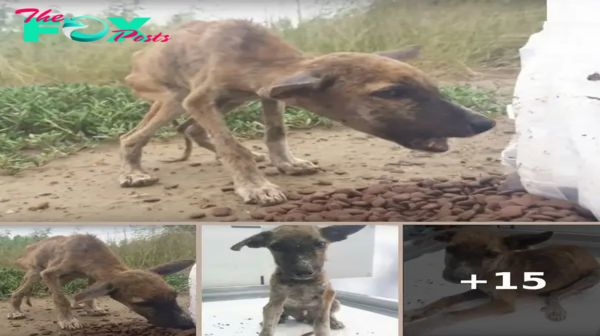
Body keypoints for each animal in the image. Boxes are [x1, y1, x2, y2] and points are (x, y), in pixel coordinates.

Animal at [5, 234, 196, 330]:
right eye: (141, 303)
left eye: (174, 295)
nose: (187, 324)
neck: (91, 252)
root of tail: (30, 247)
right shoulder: (50, 272)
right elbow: (61, 299)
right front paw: (67, 320)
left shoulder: (94, 276)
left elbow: (89, 295)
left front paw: (92, 309)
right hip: (36, 273)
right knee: (18, 291)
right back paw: (15, 310)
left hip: (66, 277)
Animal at [119, 20, 494, 207]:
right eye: (390, 93)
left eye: (432, 87)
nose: (484, 123)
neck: (254, 54)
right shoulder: (201, 99)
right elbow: (232, 147)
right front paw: (255, 185)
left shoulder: (271, 94)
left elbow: (276, 132)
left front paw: (286, 163)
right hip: (171, 97)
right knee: (132, 136)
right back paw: (133, 172)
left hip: (224, 101)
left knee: (191, 129)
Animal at [400, 226, 600, 336]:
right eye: (450, 248)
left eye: (491, 254)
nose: (458, 277)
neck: (494, 272)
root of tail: (588, 252)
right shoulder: (480, 290)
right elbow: (445, 299)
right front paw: (413, 313)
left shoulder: (503, 303)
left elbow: (450, 314)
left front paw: (416, 328)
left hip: (590, 278)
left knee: (555, 295)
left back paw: (555, 308)